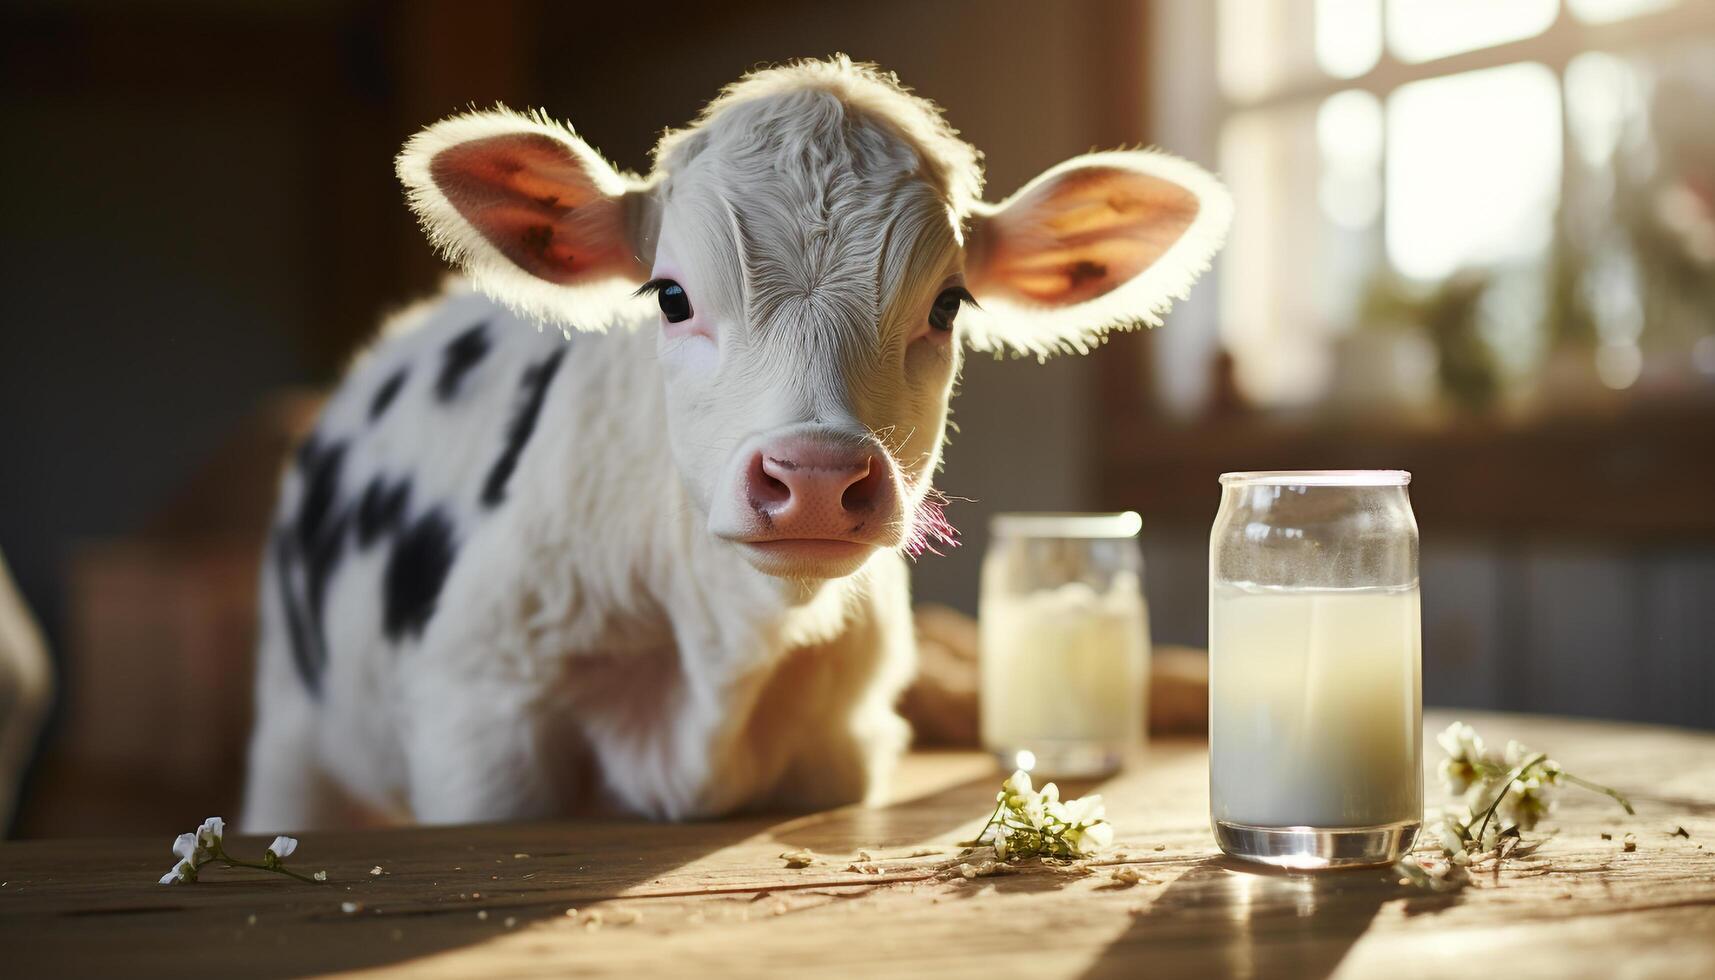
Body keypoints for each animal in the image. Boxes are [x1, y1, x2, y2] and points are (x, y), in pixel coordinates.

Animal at [241, 57, 1234, 830]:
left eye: (948, 305)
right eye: (671, 295)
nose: (817, 476)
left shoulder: (837, 742)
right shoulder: (483, 725)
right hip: (293, 733)